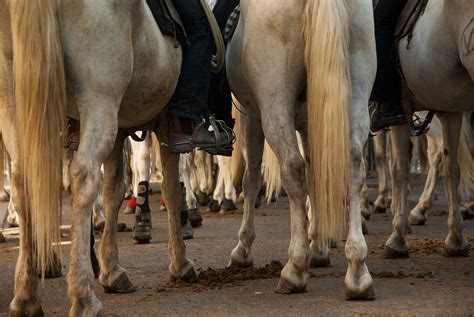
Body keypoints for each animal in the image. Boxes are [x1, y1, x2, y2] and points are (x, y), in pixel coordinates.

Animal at [228, 0, 376, 296]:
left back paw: (294, 269)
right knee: (353, 166)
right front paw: (318, 247)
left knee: (293, 168)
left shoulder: (252, 116)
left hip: (274, 103)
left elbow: (252, 179)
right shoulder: (312, 121)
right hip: (356, 87)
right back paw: (357, 270)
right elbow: (317, 176)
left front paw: (243, 249)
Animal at [386, 0, 472, 256]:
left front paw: (397, 235)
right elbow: (452, 169)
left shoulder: (400, 109)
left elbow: (398, 168)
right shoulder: (451, 111)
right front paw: (455, 239)